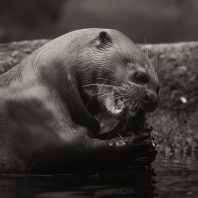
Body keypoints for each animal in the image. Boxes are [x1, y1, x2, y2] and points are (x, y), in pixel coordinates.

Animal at [0, 28, 159, 174]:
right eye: (139, 76)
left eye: (158, 88)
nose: (153, 99)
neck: (49, 81)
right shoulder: (36, 110)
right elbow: (79, 148)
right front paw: (136, 147)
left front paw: (136, 127)